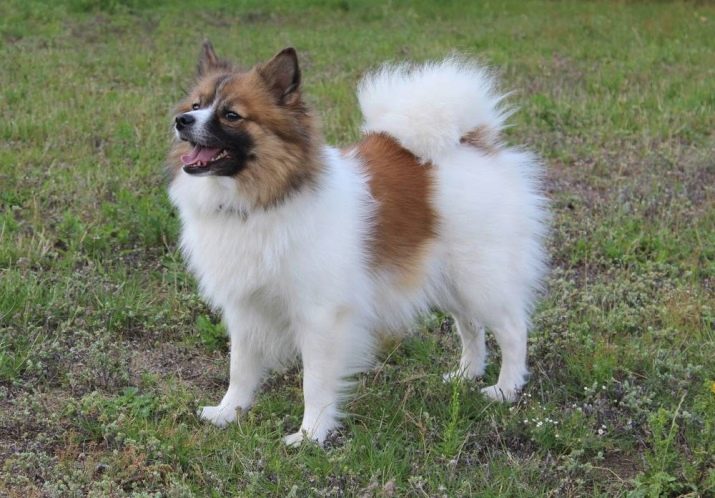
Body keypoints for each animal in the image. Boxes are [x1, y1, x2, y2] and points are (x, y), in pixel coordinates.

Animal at [168, 41, 548, 445]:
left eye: (231, 115)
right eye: (196, 105)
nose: (181, 121)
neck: (262, 201)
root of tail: (472, 143)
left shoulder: (320, 315)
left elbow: (315, 382)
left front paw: (310, 435)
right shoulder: (244, 308)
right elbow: (240, 368)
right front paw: (229, 412)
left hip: (480, 278)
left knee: (512, 330)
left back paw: (506, 388)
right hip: (449, 280)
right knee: (470, 327)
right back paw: (466, 375)